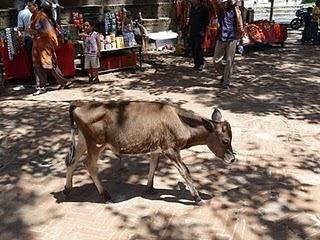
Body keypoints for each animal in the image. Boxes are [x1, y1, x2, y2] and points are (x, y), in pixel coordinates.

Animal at [63, 100, 235, 205]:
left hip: (83, 141)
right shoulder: (170, 149)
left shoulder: (156, 149)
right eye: (225, 140)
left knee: (71, 161)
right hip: (96, 144)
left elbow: (153, 166)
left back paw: (67, 189)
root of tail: (81, 104)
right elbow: (185, 171)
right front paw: (197, 197)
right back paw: (106, 196)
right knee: (89, 164)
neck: (179, 121)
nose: (232, 159)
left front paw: (150, 187)